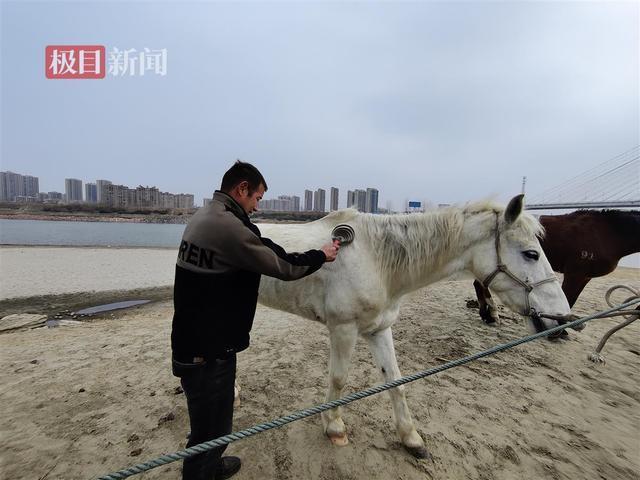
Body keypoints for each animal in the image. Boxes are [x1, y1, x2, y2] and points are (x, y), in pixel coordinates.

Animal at [252, 194, 568, 458]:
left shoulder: (379, 330)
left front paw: (411, 438)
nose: (562, 318)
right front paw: (334, 427)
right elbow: (339, 379)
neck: (376, 260)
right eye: (531, 254)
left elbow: (395, 381)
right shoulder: (343, 328)